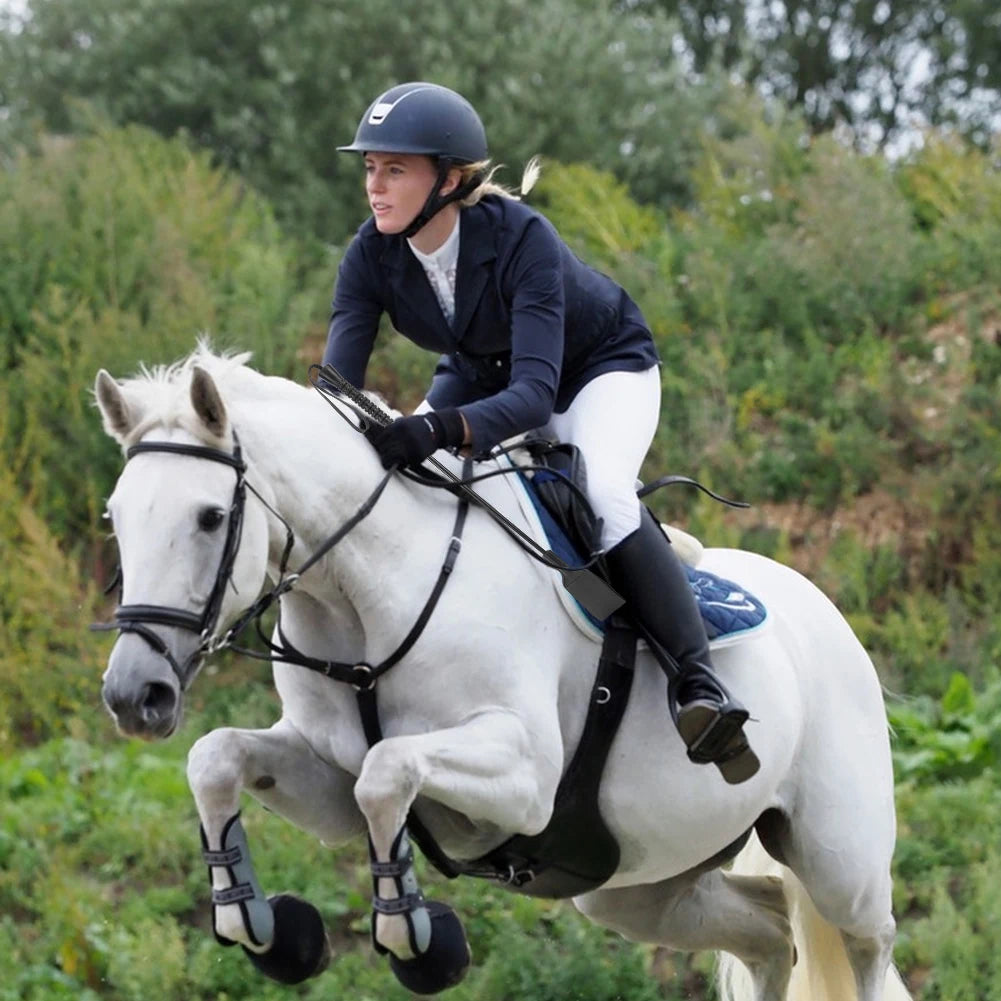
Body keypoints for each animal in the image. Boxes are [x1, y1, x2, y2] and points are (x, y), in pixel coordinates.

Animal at [93, 347, 912, 1001]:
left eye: (208, 516)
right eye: (115, 517)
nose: (135, 696)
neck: (363, 594)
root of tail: (824, 609)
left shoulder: (524, 777)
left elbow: (387, 772)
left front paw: (416, 941)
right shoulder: (325, 775)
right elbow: (217, 759)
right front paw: (265, 929)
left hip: (840, 861)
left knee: (865, 945)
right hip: (637, 883)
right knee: (768, 931)